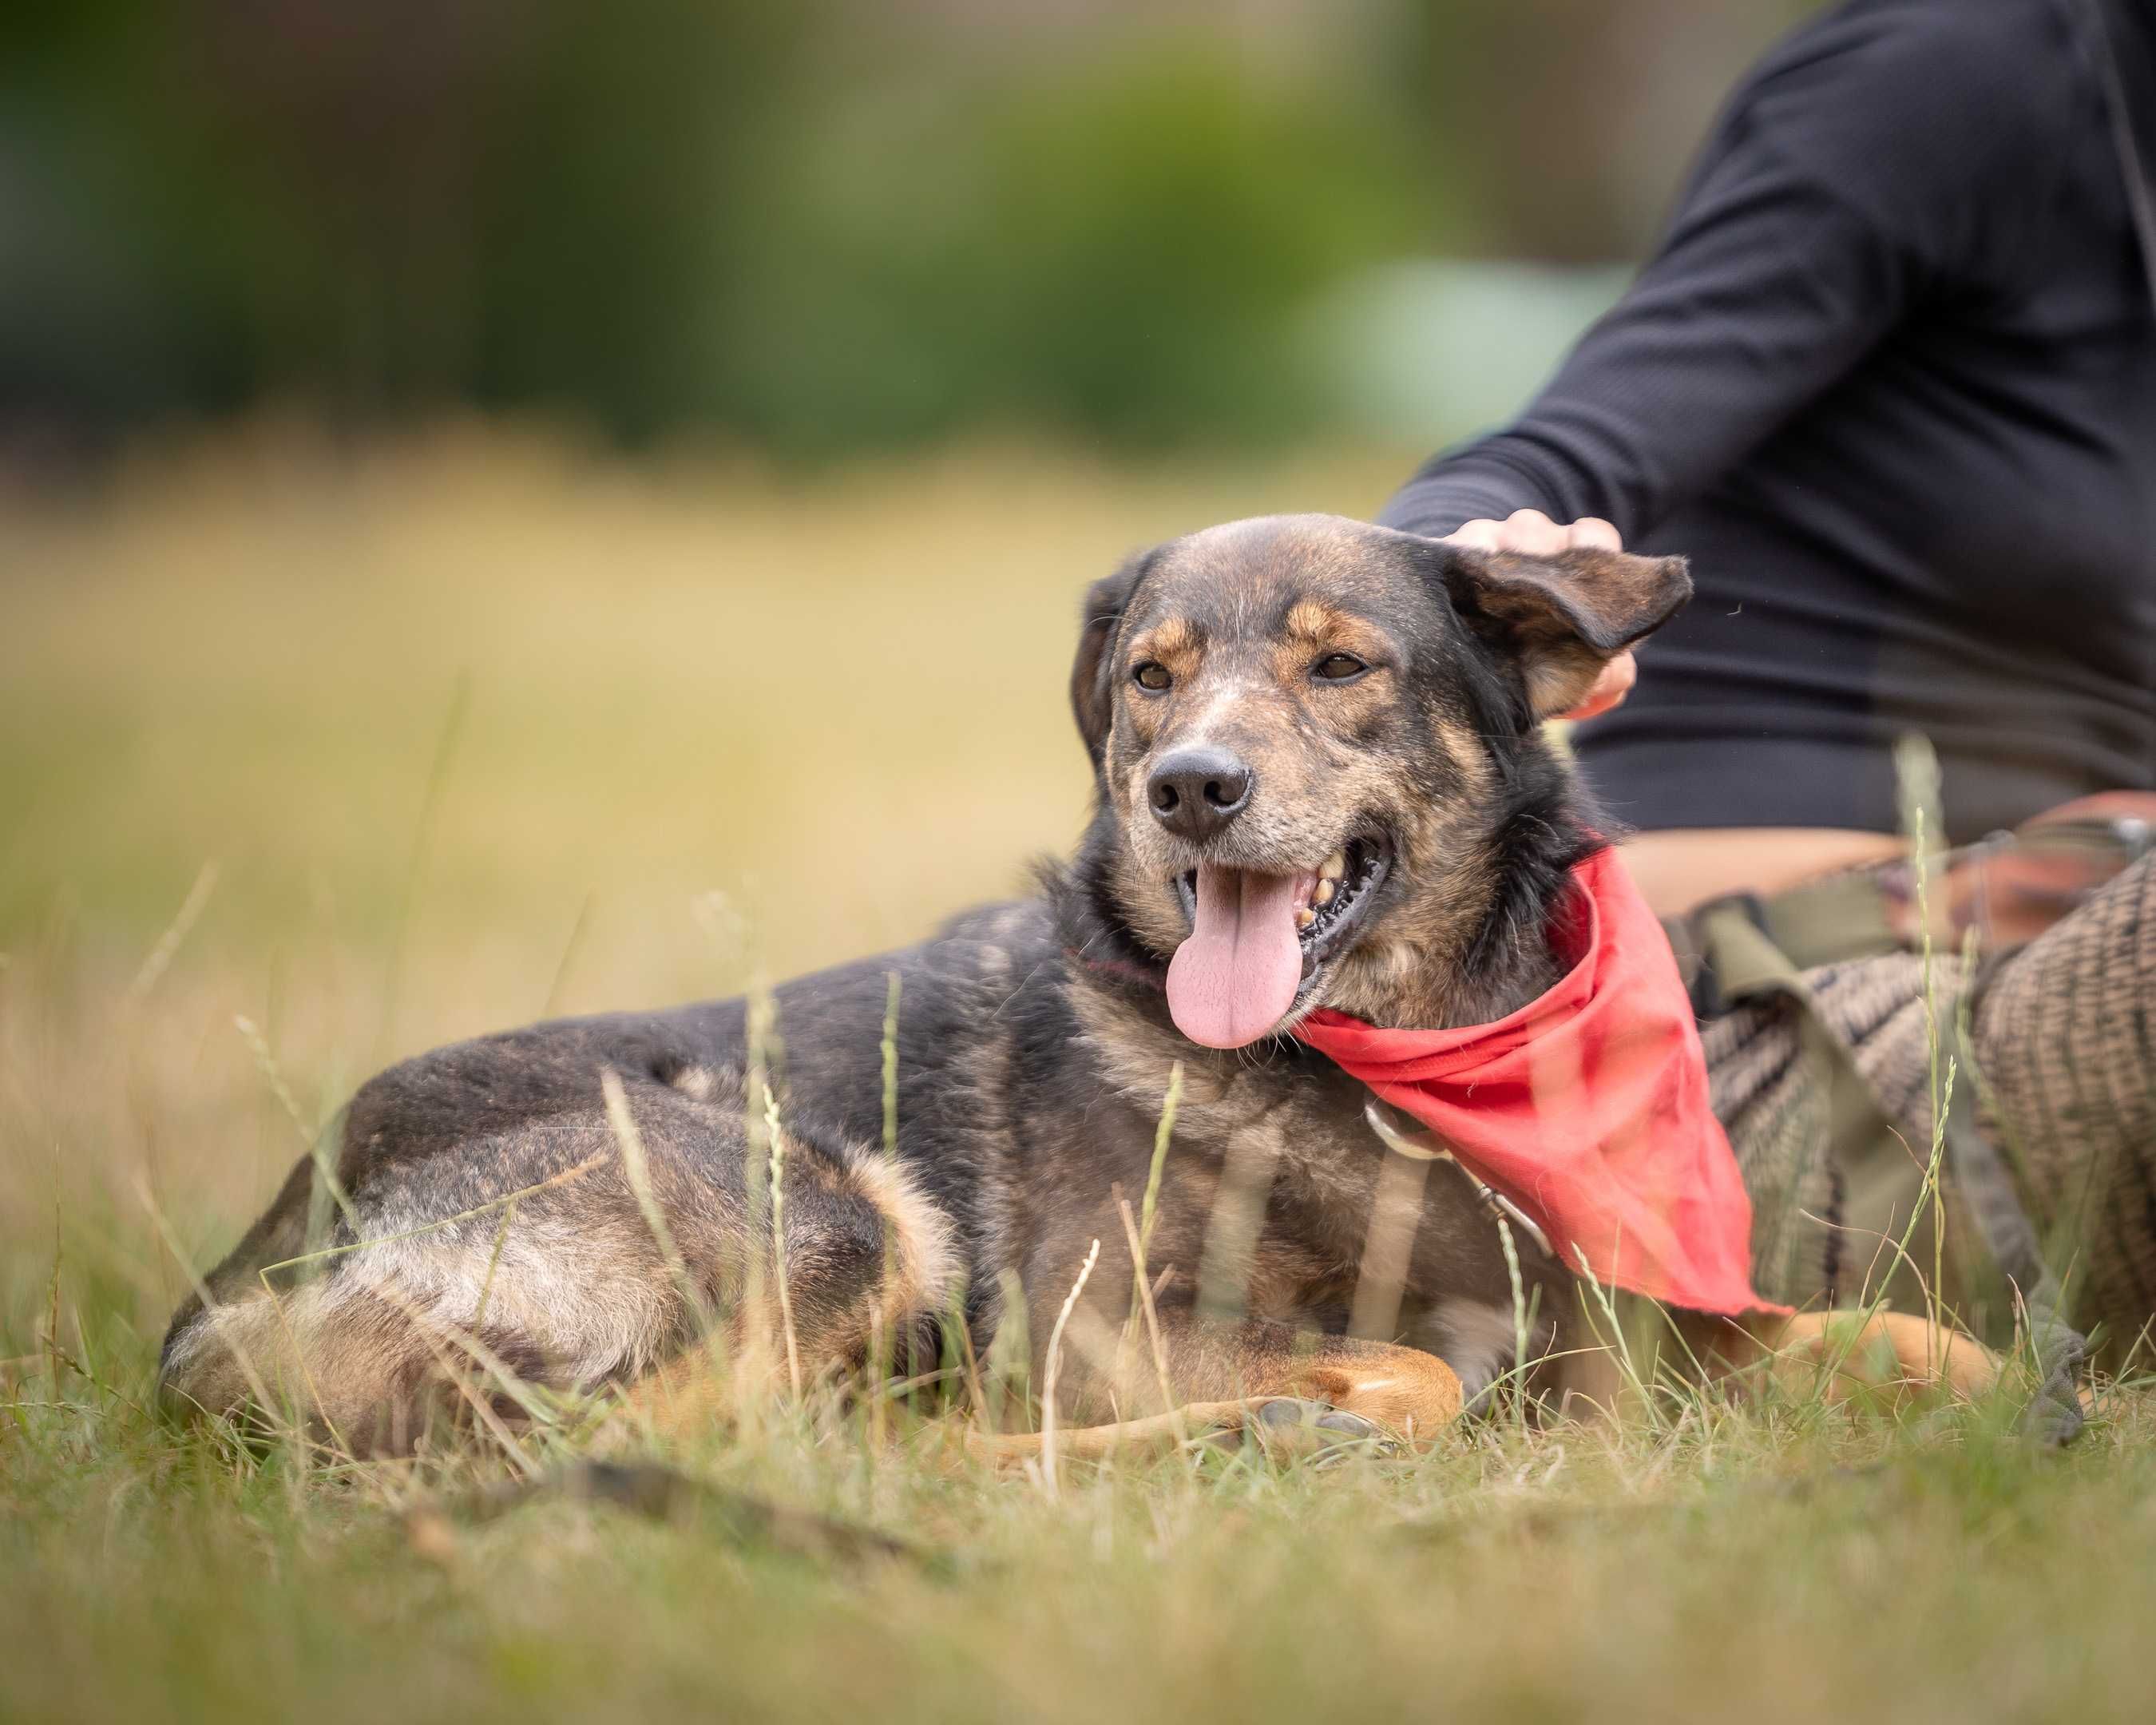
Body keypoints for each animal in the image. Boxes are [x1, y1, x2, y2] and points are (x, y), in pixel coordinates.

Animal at [159, 515, 1992, 1457]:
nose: (1190, 787)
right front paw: (1310, 1419)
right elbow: (1402, 1372)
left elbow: (1899, 1335)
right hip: (832, 1208)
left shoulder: (1619, 1312)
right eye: (1153, 681)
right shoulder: (1090, 1321)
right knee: (647, 1435)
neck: (1389, 1074)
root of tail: (247, 1266)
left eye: (1343, 665)